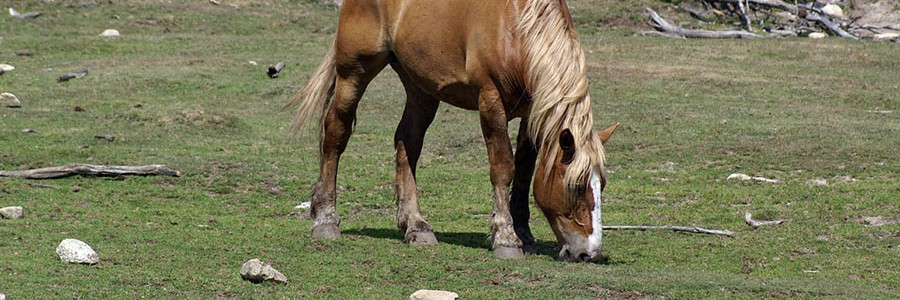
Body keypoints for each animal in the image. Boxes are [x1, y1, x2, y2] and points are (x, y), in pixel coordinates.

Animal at [286, 0, 620, 262]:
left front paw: (524, 233)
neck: (517, 27)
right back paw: (326, 219)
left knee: (407, 142)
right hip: (354, 73)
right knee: (335, 134)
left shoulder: (532, 109)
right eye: (576, 187)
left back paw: (416, 226)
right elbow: (503, 168)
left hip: (420, 87)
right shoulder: (490, 101)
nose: (590, 253)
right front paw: (506, 238)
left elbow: (525, 170)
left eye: (601, 186)